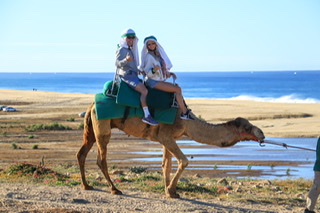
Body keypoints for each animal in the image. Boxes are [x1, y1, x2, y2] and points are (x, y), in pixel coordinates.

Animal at [77, 102, 264, 197]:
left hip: (91, 127)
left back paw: (86, 185)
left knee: (81, 153)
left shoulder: (166, 138)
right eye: (247, 127)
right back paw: (114, 189)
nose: (261, 133)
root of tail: (91, 106)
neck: (187, 122)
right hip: (102, 127)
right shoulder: (166, 135)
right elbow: (184, 161)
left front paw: (167, 190)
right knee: (101, 159)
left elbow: (166, 165)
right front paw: (172, 191)